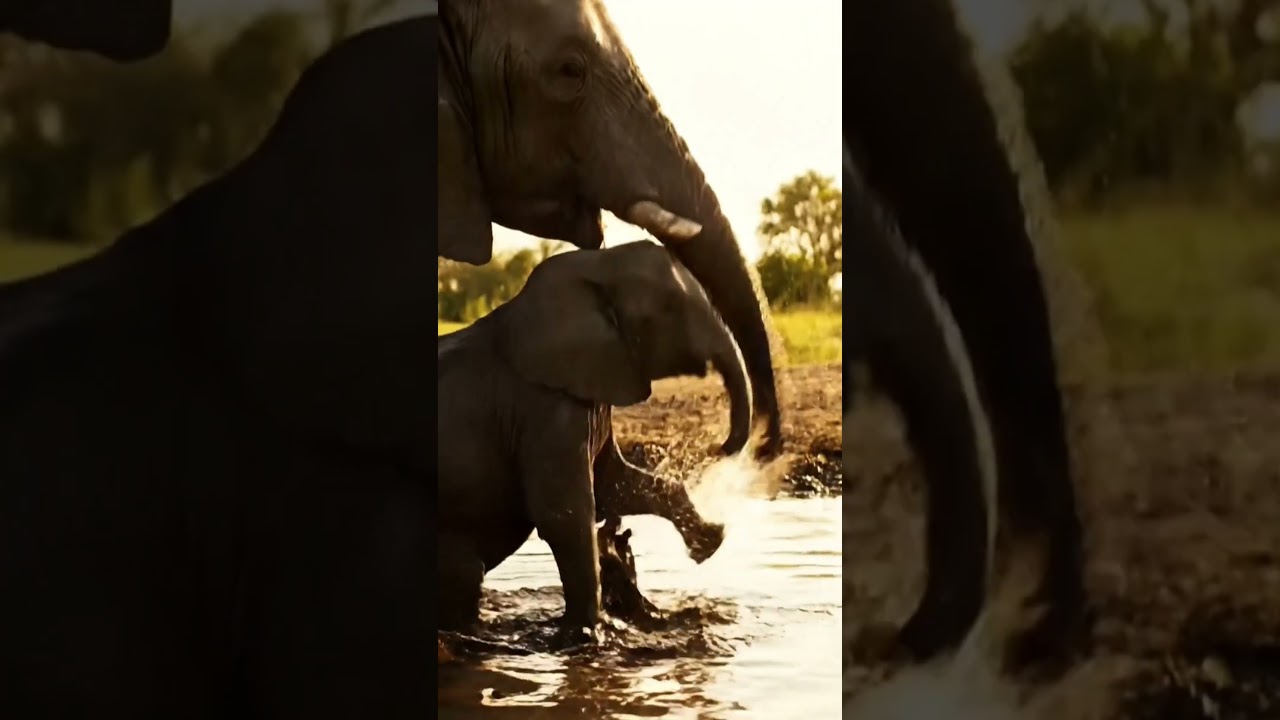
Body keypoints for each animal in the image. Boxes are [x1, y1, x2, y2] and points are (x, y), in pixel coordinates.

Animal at [438, 240, 745, 644]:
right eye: (669, 309)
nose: (721, 447)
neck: (595, 266)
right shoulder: (544, 407)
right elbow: (565, 515)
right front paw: (587, 634)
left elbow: (615, 484)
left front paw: (708, 541)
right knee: (465, 572)